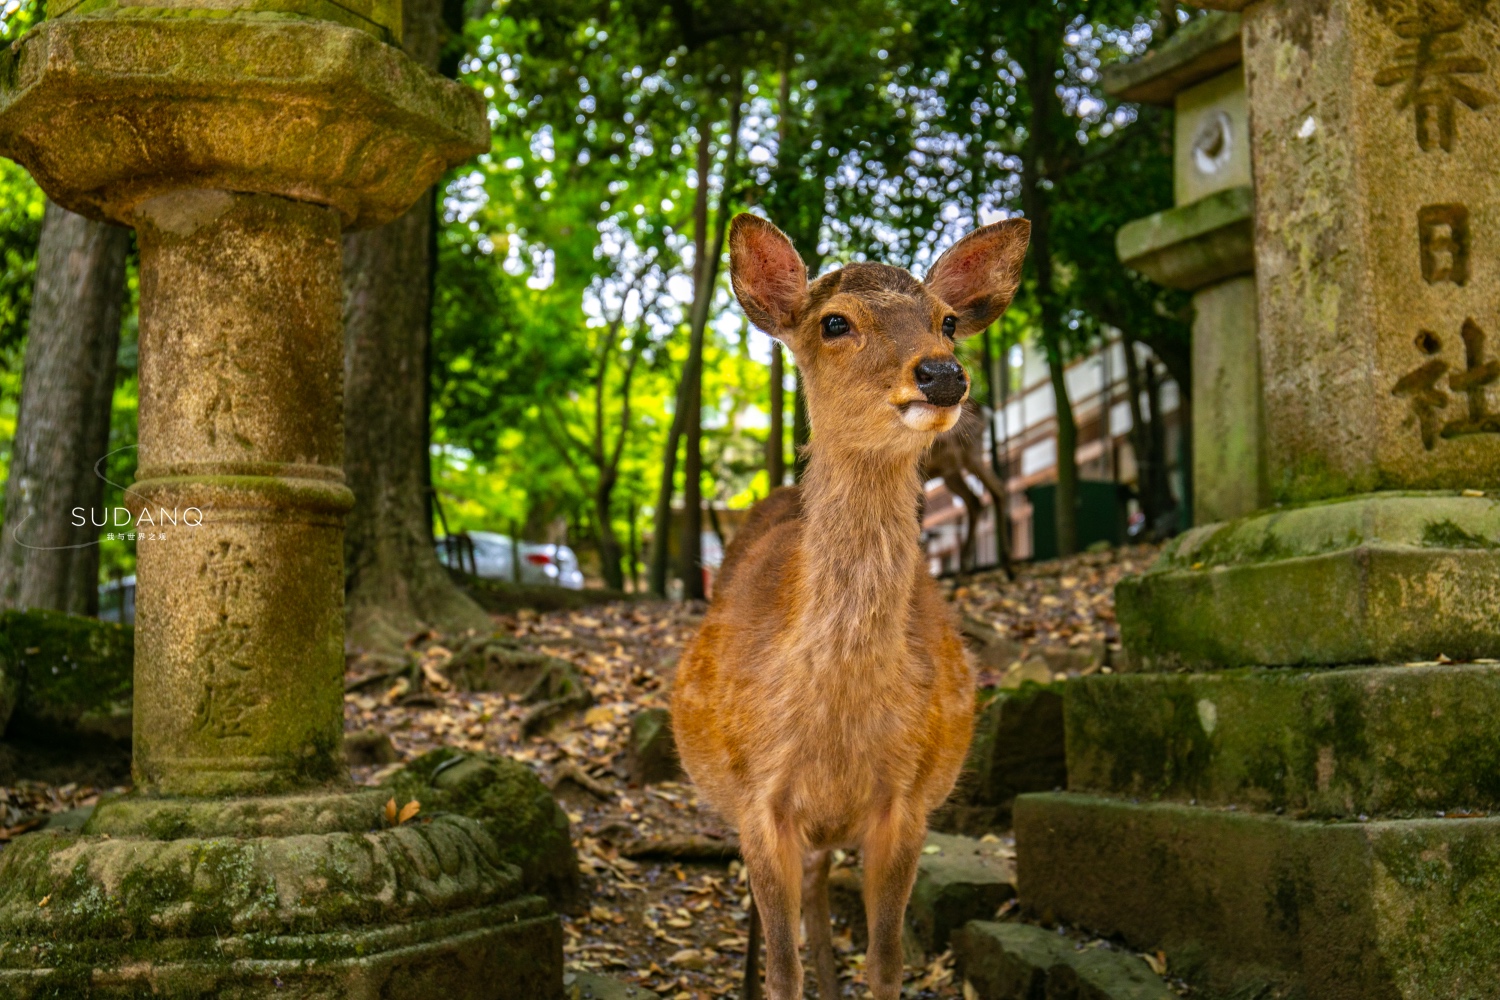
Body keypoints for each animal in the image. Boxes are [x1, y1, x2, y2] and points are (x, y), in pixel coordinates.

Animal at [672, 215, 1032, 995]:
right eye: (834, 321)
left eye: (948, 321)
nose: (942, 373)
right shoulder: (759, 799)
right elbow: (782, 968)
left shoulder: (907, 803)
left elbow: (887, 959)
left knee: (815, 890)